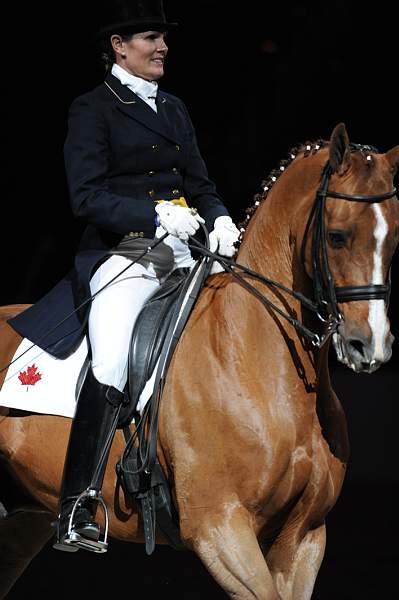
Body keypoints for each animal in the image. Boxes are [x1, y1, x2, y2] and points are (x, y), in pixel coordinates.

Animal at [0, 123, 399, 600]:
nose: (369, 345)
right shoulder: (220, 528)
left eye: (394, 238)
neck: (257, 360)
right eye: (337, 235)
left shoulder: (304, 537)